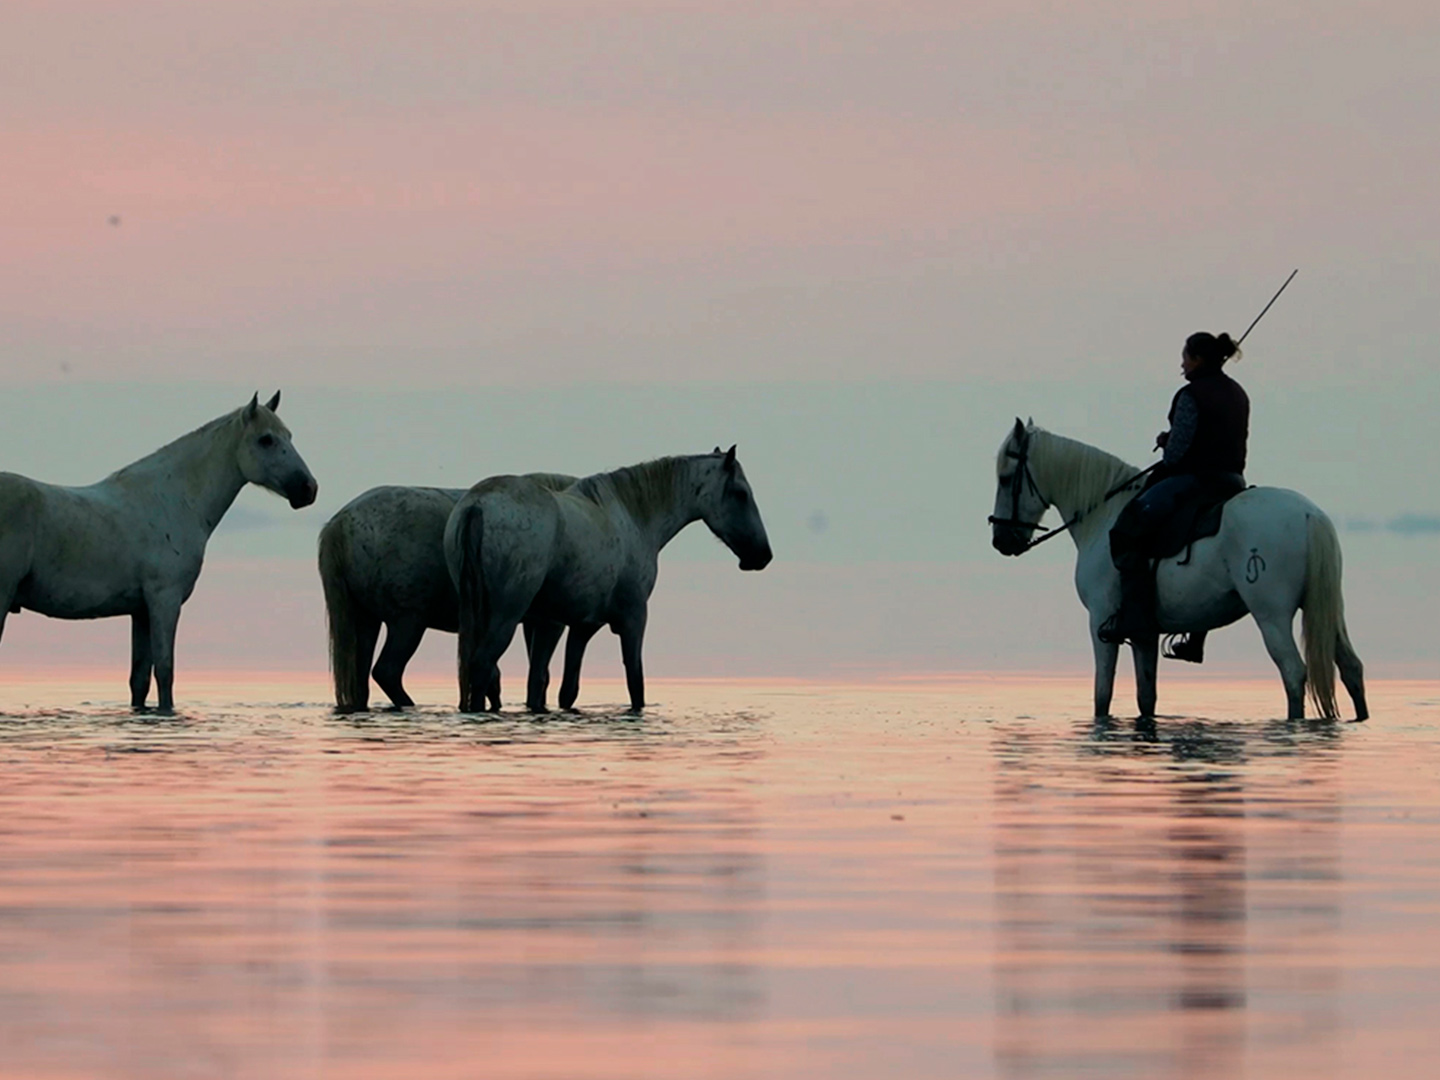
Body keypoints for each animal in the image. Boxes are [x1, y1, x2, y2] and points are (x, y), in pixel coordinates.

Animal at [0, 394, 318, 714]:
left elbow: (139, 678)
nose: (308, 489)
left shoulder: (140, 610)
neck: (172, 501)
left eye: (289, 436)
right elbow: (165, 671)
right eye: (266, 439)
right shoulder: (165, 600)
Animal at [318, 478, 576, 714]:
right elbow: (539, 672)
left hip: (367, 620)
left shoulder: (531, 622)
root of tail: (340, 523)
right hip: (407, 623)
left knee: (360, 677)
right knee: (387, 671)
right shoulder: (549, 623)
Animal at [443, 449, 771, 720]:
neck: (633, 517)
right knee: (482, 666)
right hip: (506, 616)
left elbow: (565, 690)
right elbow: (635, 682)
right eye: (741, 494)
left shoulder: (579, 626)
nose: (763, 555)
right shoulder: (633, 619)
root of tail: (477, 505)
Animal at [984, 417, 1365, 722]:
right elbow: (1146, 696)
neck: (1103, 513)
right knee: (1351, 668)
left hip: (1271, 614)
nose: (1002, 540)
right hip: (1325, 611)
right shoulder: (1144, 633)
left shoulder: (1100, 622)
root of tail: (1309, 515)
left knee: (1293, 672)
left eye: (1005, 478)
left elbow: (1102, 695)